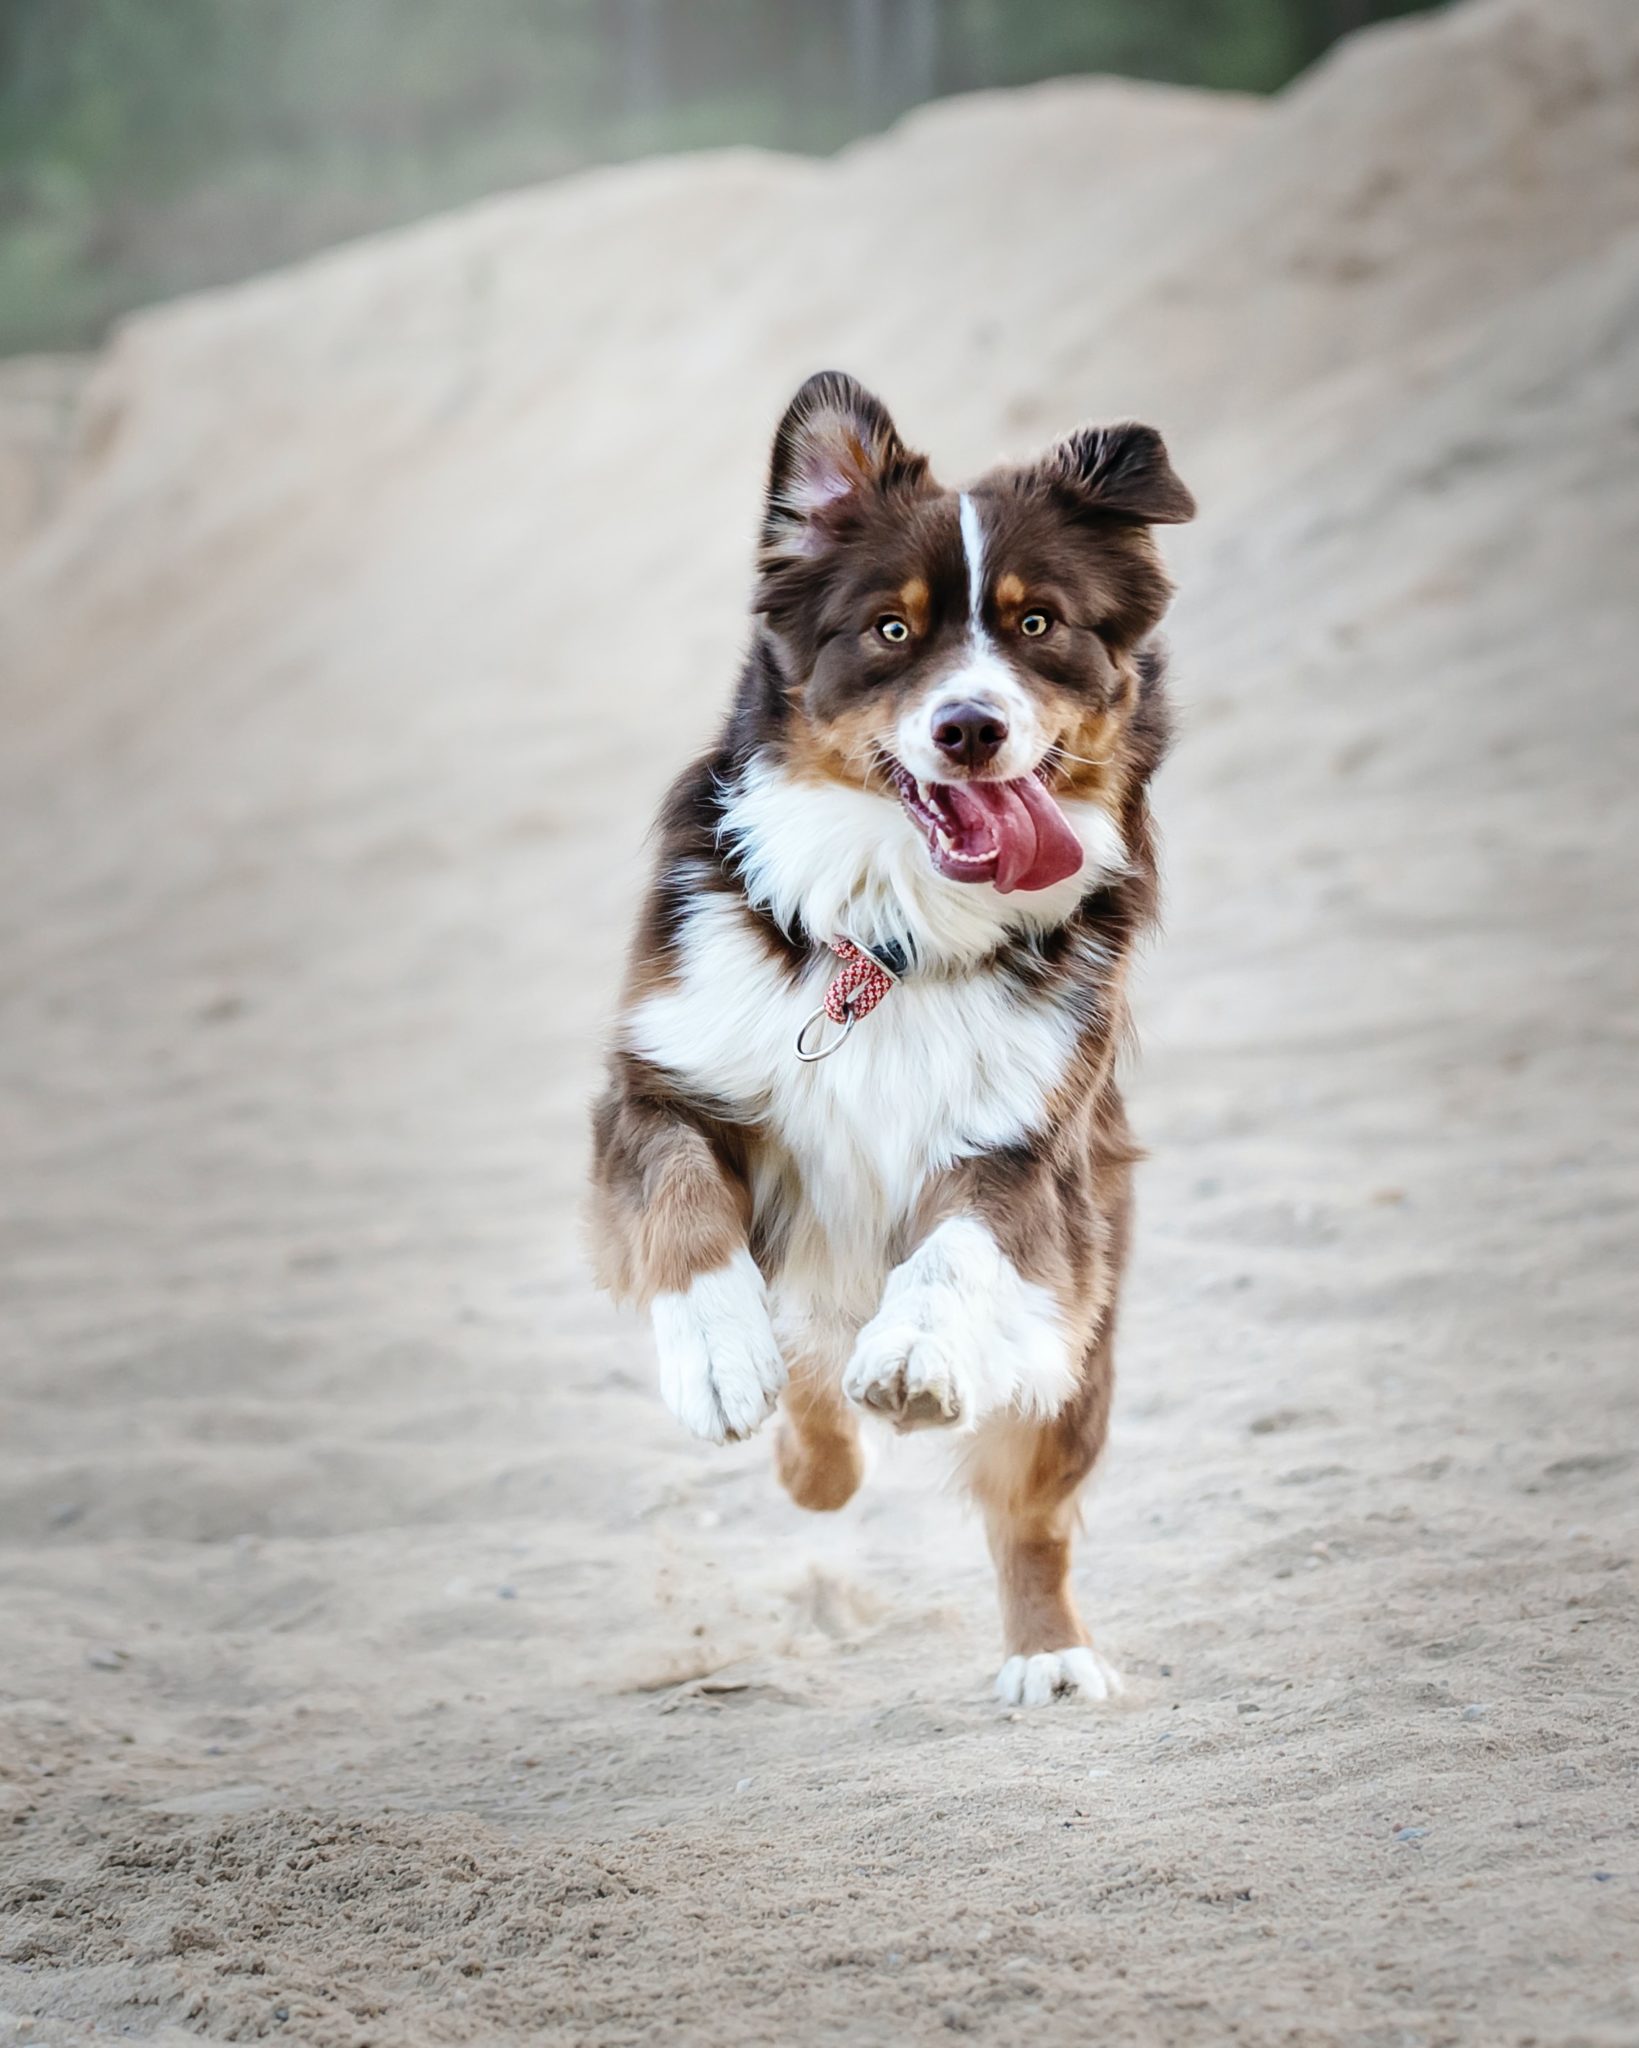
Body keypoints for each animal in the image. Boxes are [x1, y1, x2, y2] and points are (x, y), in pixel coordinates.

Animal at [590, 376, 1188, 1703]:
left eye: (1035, 622)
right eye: (891, 631)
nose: (969, 728)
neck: (889, 934)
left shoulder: (1025, 1147)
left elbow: (955, 1252)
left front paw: (914, 1354)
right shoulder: (660, 1081)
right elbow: (680, 1204)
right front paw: (718, 1356)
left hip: (1080, 1328)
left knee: (1030, 1509)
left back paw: (1047, 1651)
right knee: (813, 1381)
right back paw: (808, 1441)